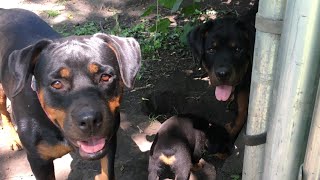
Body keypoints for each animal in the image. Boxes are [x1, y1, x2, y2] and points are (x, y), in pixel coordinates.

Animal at [0, 8, 141, 179]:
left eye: (105, 77)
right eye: (57, 84)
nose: (89, 120)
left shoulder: (110, 139)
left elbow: (107, 172)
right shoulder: (39, 161)